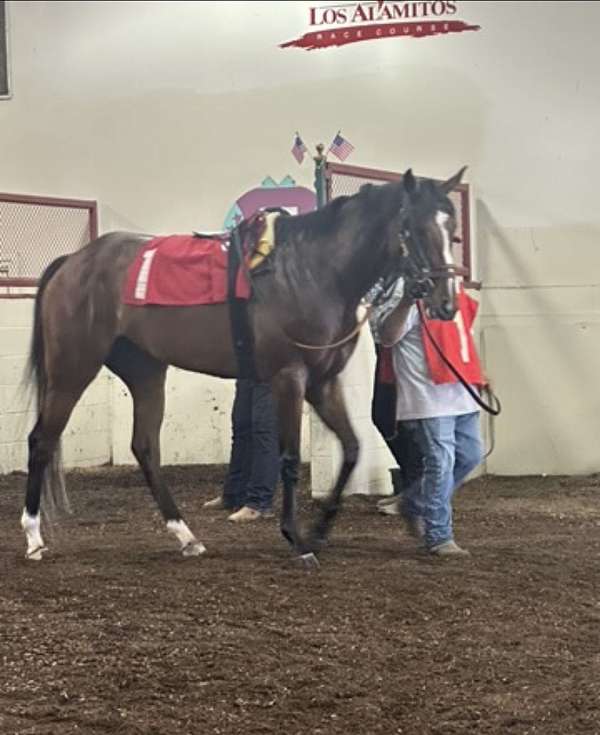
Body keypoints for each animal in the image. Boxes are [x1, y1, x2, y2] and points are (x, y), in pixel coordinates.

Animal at [20, 167, 467, 566]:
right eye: (416, 227)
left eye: (453, 231)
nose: (446, 302)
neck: (315, 271)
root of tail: (73, 262)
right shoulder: (290, 378)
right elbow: (289, 458)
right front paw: (296, 538)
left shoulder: (323, 383)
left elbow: (353, 447)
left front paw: (321, 530)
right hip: (72, 369)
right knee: (42, 439)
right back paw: (34, 537)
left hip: (146, 371)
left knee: (145, 447)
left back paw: (186, 536)